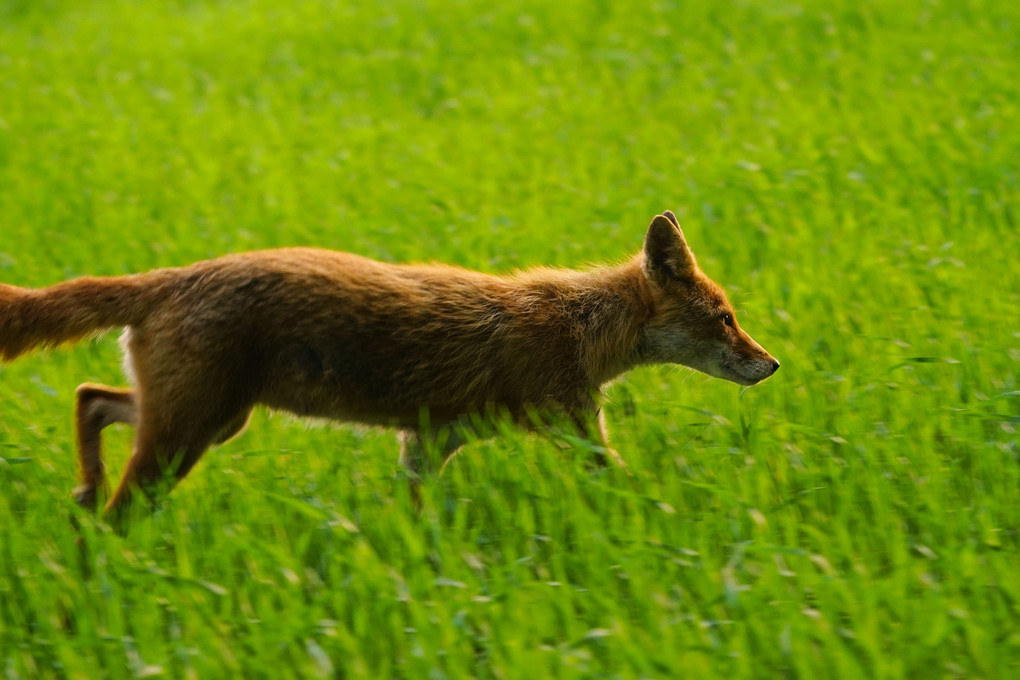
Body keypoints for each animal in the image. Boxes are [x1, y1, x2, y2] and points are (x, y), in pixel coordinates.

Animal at [0, 210, 775, 526]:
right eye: (725, 317)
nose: (770, 365)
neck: (578, 324)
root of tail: (173, 276)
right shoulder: (575, 428)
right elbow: (626, 485)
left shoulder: (427, 442)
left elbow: (414, 519)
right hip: (185, 436)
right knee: (119, 504)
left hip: (205, 422)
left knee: (91, 396)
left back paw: (83, 493)